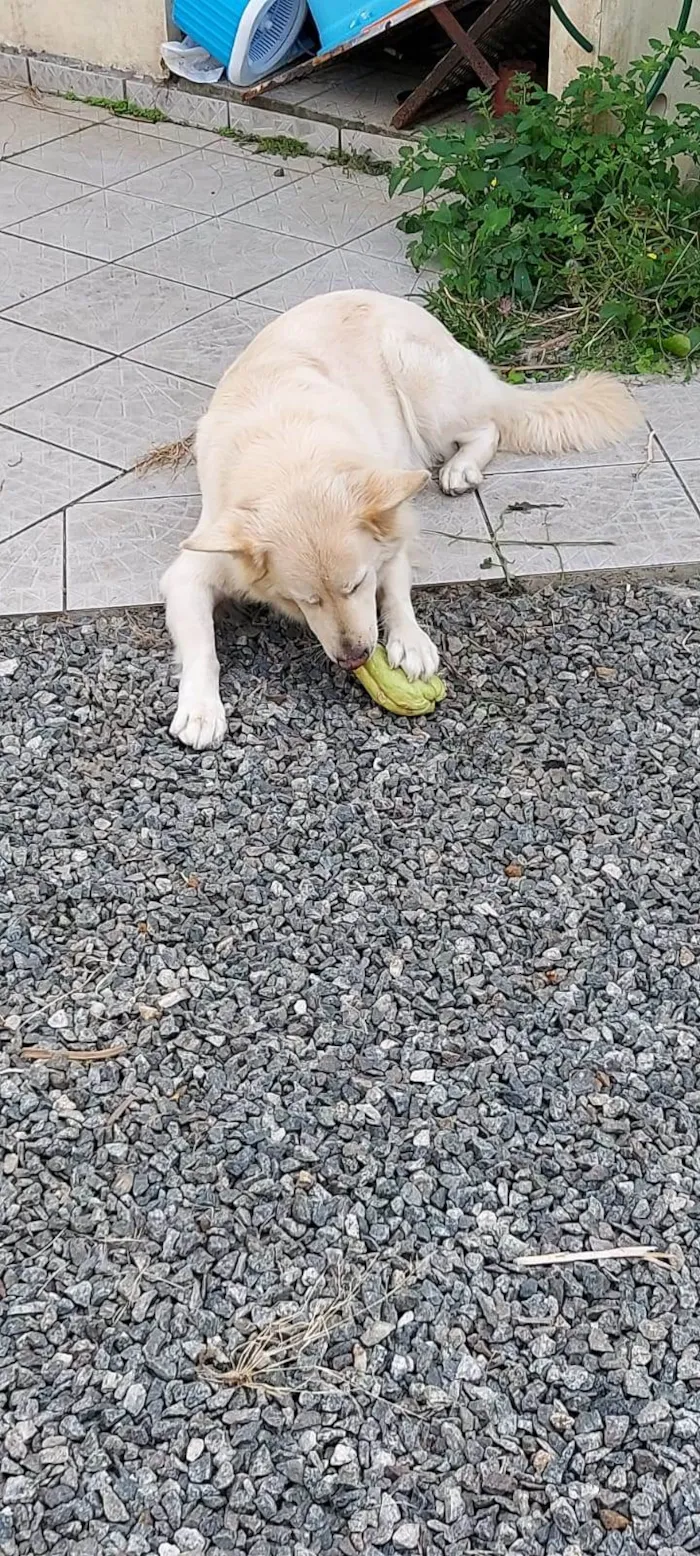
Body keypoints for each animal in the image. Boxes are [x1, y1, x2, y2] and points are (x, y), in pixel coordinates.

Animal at [161, 295, 644, 753]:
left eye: (356, 586)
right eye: (305, 601)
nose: (355, 658)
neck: (291, 460)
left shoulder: (392, 523)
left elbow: (395, 588)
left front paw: (409, 641)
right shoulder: (193, 570)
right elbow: (203, 648)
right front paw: (200, 710)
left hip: (423, 388)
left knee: (487, 427)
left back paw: (460, 469)